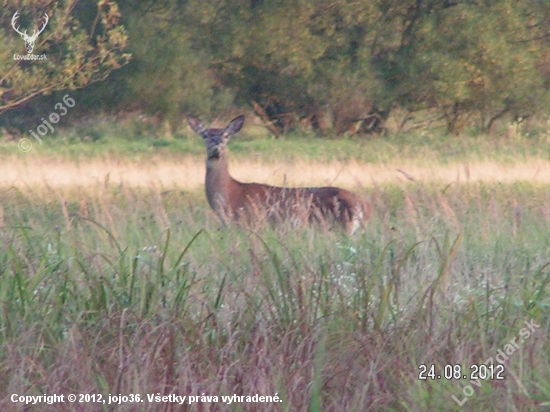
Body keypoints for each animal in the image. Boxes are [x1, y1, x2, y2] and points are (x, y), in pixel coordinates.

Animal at [188, 114, 374, 233]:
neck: (230, 195)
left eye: (226, 135)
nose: (216, 145)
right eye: (205, 135)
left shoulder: (253, 223)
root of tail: (364, 204)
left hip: (342, 225)